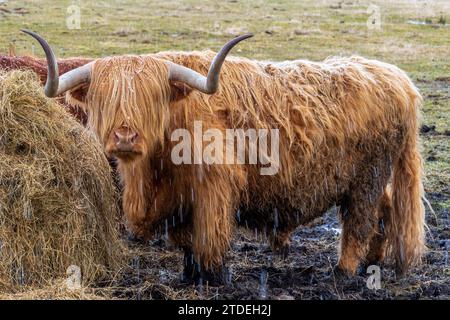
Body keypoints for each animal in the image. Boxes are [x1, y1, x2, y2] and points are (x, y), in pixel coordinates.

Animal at [24, 28, 426, 282]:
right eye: (103, 97)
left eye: (152, 97)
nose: (125, 136)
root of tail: (397, 78)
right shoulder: (179, 200)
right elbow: (184, 239)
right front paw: (188, 275)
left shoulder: (214, 187)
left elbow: (209, 237)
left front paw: (212, 276)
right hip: (372, 178)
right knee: (385, 212)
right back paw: (373, 265)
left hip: (367, 177)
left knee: (360, 222)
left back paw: (343, 273)